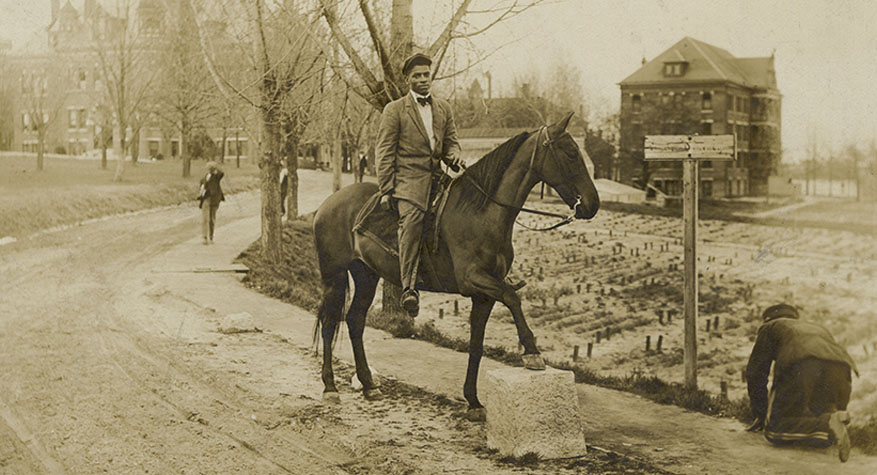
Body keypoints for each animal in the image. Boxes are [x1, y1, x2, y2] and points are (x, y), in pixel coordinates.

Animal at [312, 112, 600, 420]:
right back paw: (330, 387)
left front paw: (473, 401)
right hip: (334, 276)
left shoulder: (484, 295)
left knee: (355, 320)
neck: (481, 210)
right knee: (330, 323)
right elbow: (513, 297)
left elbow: (476, 345)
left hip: (366, 276)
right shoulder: (474, 280)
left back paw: (368, 384)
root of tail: (328, 203)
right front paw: (532, 352)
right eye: (571, 153)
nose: (593, 204)